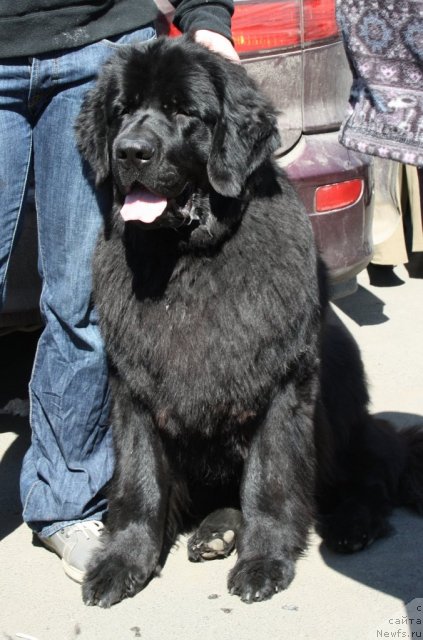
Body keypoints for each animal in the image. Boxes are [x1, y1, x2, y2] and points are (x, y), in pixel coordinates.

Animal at [76, 36, 423, 608]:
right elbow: (139, 483)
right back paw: (217, 530)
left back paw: (350, 523)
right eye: (121, 111)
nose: (129, 151)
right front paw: (122, 564)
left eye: (185, 113)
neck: (190, 261)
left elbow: (269, 481)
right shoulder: (134, 391)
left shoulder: (281, 386)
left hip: (344, 414)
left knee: (375, 470)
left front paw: (264, 562)